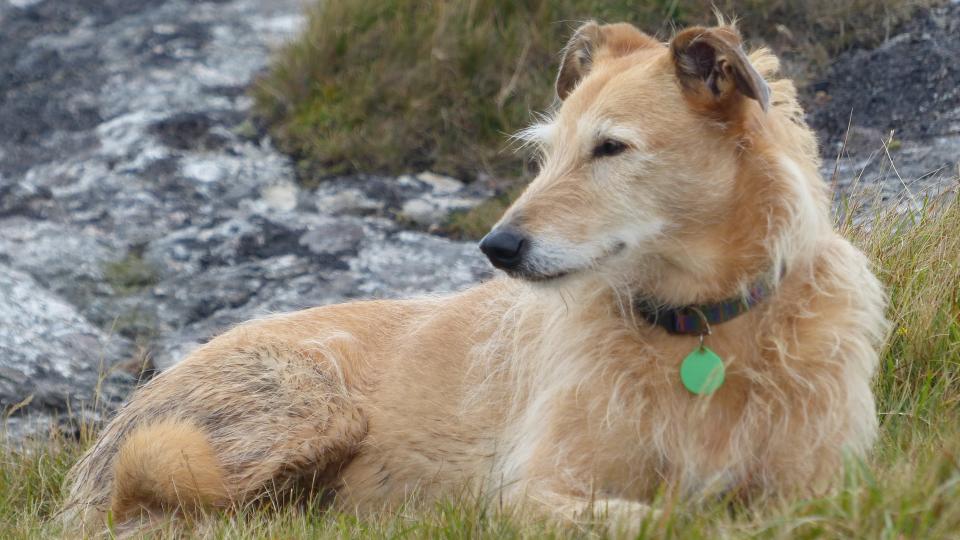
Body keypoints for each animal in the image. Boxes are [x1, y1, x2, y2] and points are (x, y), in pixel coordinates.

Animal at [62, 20, 884, 532]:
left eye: (611, 148)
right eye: (548, 152)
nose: (499, 247)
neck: (702, 332)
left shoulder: (829, 476)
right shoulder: (534, 492)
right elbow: (656, 517)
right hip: (296, 408)